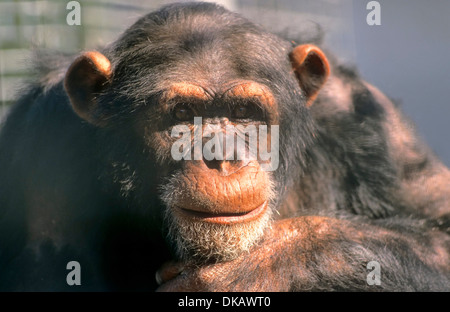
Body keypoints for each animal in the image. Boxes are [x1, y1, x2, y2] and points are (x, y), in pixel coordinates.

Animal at [0, 2, 448, 292]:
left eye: (245, 113)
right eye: (183, 114)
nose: (223, 156)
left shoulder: (367, 116)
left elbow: (439, 230)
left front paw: (253, 269)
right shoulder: (43, 135)